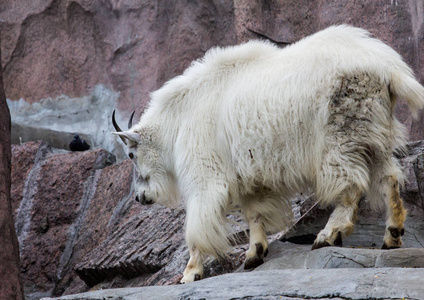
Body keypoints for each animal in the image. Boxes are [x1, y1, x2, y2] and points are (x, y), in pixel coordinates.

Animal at [112, 25, 424, 284]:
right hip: (373, 131)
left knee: (349, 183)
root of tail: (389, 68)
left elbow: (198, 224)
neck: (179, 117)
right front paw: (254, 254)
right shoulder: (250, 176)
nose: (140, 197)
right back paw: (392, 235)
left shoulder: (205, 172)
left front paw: (190, 273)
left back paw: (328, 235)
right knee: (388, 178)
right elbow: (254, 213)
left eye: (130, 155)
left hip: (341, 131)